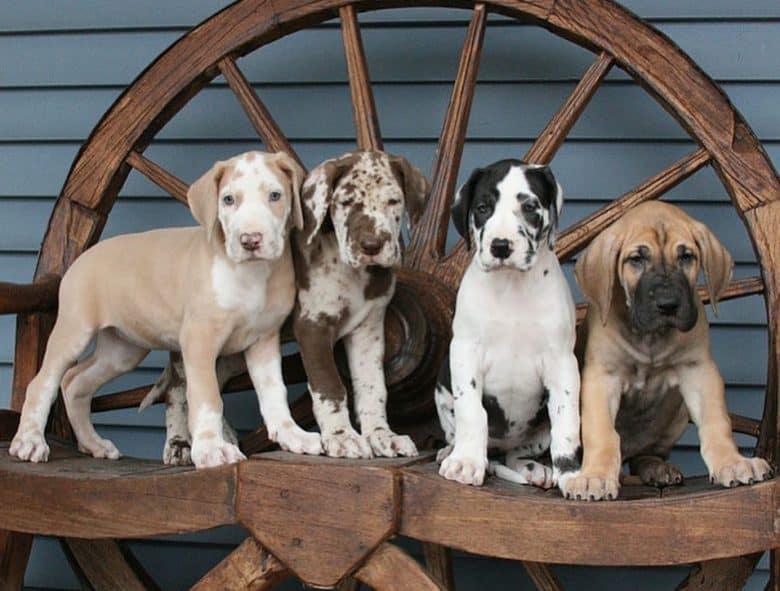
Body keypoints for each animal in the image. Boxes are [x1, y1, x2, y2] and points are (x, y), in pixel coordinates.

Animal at [6, 151, 316, 468]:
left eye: (275, 195)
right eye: (228, 199)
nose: (250, 240)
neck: (252, 275)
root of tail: (81, 257)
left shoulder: (264, 340)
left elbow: (274, 392)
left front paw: (292, 435)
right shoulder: (199, 339)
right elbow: (207, 396)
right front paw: (211, 448)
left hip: (122, 351)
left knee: (74, 383)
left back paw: (94, 444)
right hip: (74, 331)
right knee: (42, 383)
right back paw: (29, 441)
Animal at [436, 160, 580, 498]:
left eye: (529, 207)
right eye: (483, 208)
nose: (500, 246)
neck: (512, 287)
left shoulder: (562, 362)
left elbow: (567, 420)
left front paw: (573, 474)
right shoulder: (465, 352)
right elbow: (472, 412)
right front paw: (466, 463)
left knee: (518, 454)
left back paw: (535, 468)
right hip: (442, 394)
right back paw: (453, 452)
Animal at [568, 202, 772, 500]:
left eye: (686, 256)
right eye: (636, 259)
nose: (668, 304)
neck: (651, 338)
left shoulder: (699, 371)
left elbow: (716, 421)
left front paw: (732, 463)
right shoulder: (602, 378)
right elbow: (601, 432)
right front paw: (594, 476)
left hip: (677, 415)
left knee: (646, 454)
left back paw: (656, 467)